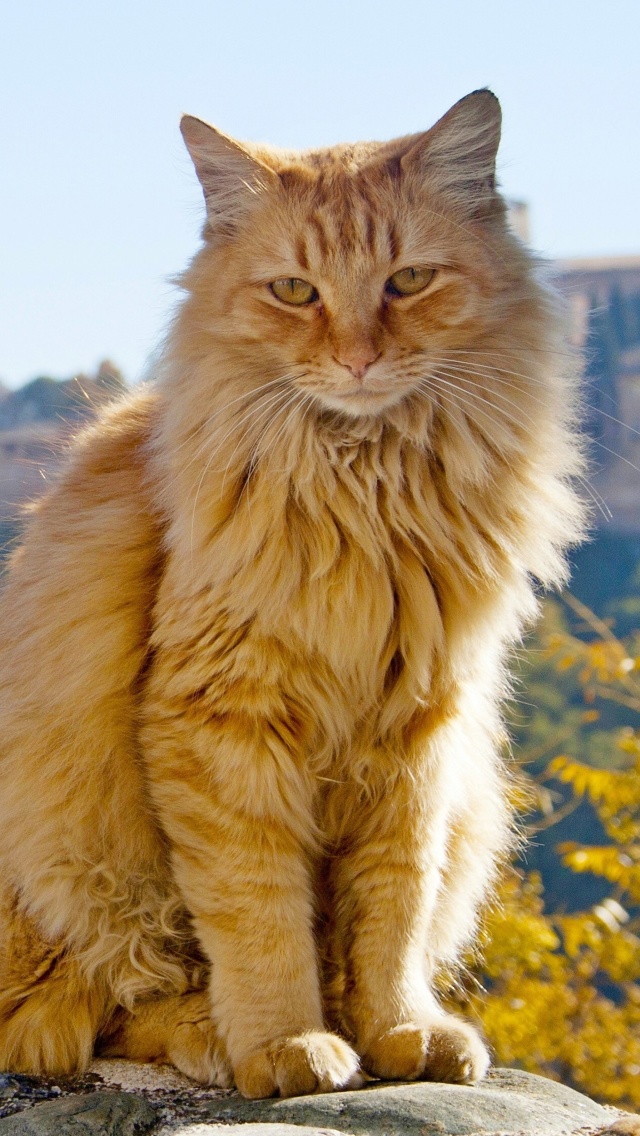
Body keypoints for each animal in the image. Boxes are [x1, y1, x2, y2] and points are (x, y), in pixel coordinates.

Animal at [0, 90, 586, 1099]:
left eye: (407, 281)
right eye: (294, 292)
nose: (357, 360)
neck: (368, 489)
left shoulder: (421, 730)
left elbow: (392, 911)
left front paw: (399, 1030)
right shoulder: (221, 721)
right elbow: (257, 915)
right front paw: (285, 1043)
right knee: (87, 1009)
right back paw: (209, 1031)